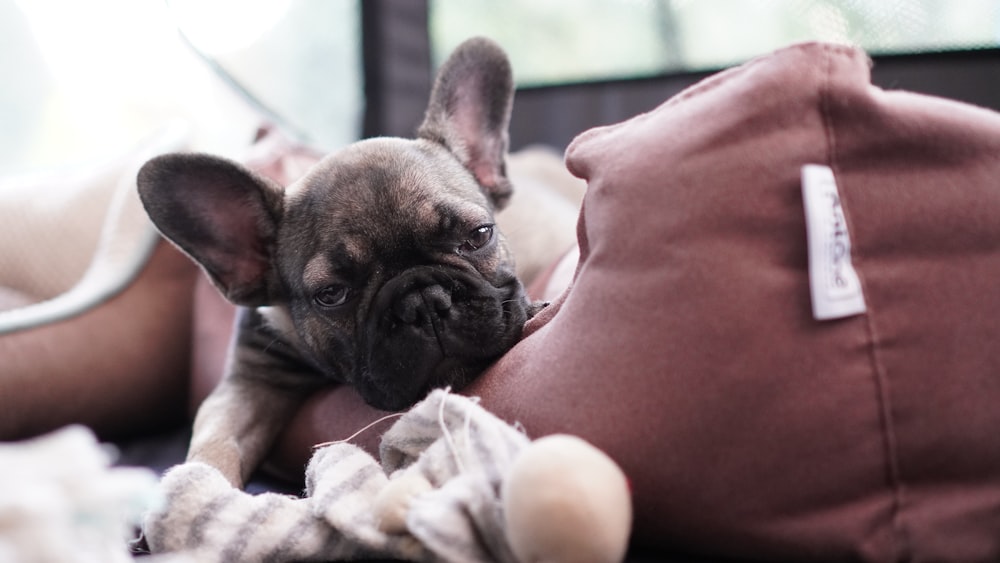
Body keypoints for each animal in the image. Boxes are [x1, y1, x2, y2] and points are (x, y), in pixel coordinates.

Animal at [135, 37, 540, 486]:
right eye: (331, 294)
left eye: (479, 235)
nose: (425, 303)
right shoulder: (246, 382)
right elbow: (216, 441)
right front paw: (201, 487)